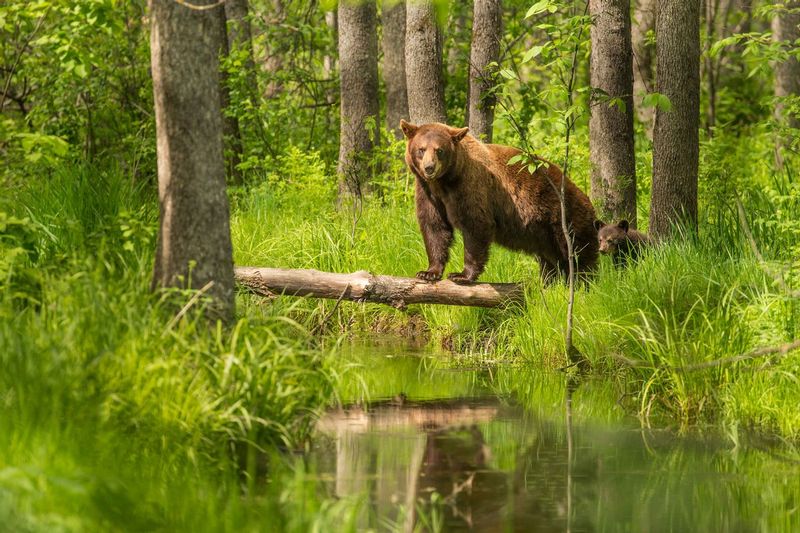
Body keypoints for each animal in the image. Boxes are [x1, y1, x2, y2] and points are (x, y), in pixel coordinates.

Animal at [400, 120, 599, 284]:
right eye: (421, 149)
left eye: (439, 150)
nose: (429, 168)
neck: (445, 182)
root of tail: (589, 202)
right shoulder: (428, 193)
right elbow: (434, 227)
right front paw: (428, 272)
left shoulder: (470, 186)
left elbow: (475, 224)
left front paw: (461, 275)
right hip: (544, 235)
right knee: (551, 261)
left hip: (564, 218)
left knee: (577, 254)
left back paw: (584, 283)